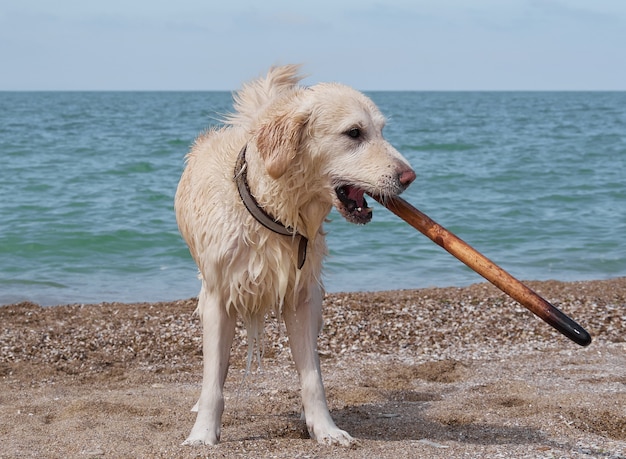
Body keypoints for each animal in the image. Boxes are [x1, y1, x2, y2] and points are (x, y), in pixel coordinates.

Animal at [174, 64, 414, 446]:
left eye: (381, 130)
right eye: (354, 133)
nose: (409, 176)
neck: (271, 211)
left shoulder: (302, 297)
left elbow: (312, 377)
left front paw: (325, 429)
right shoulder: (218, 297)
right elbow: (214, 379)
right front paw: (202, 434)